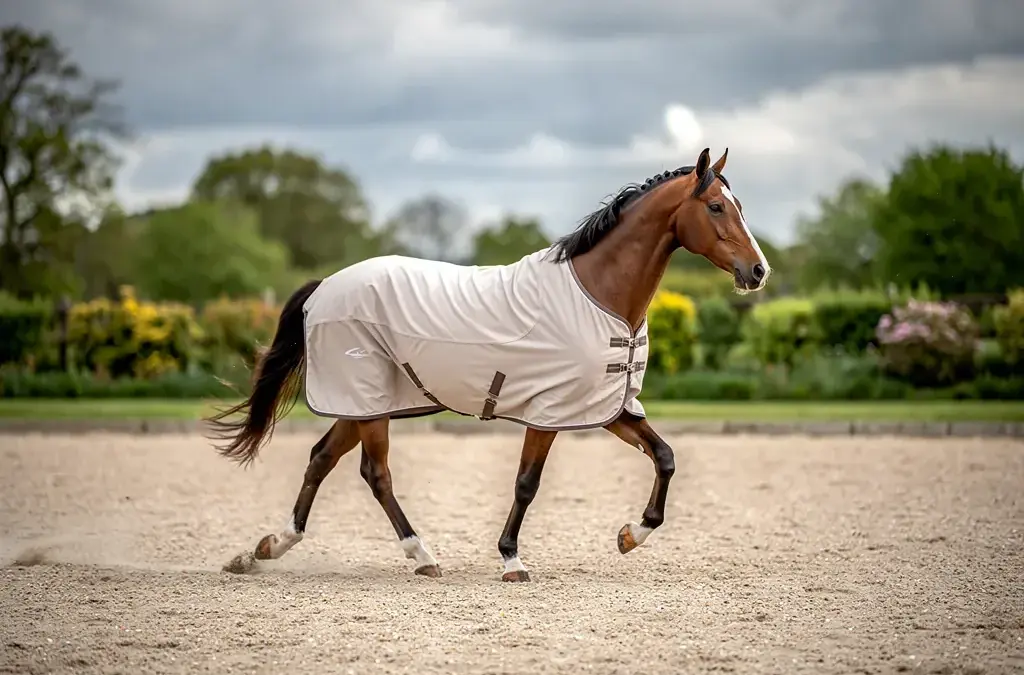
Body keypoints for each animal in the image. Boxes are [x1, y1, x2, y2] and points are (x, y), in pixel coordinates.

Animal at [205, 147, 771, 581]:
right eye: (716, 206)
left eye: (740, 205)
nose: (758, 271)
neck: (597, 292)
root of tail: (325, 286)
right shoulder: (548, 413)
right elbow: (526, 483)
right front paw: (511, 560)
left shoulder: (607, 408)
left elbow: (665, 457)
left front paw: (631, 535)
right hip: (367, 403)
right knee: (375, 472)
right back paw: (421, 554)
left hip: (364, 404)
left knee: (322, 459)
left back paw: (268, 548)